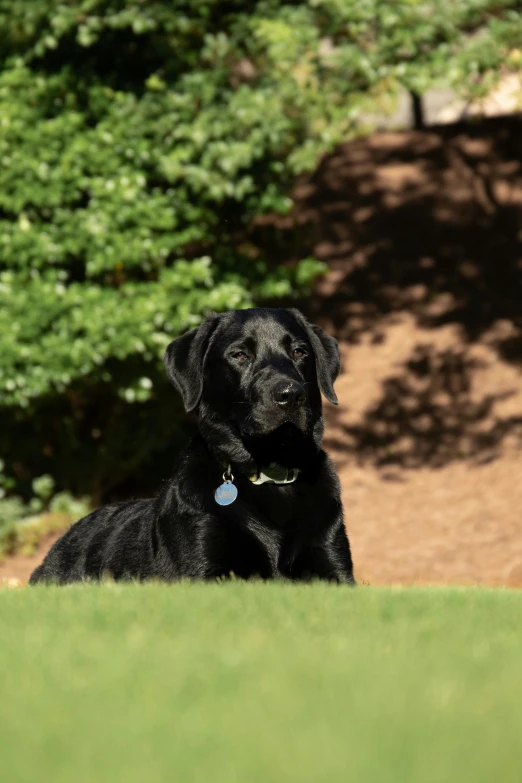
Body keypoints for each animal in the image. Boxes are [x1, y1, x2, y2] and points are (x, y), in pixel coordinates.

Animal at [29, 310, 354, 584]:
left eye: (299, 352)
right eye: (239, 354)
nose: (290, 394)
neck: (271, 476)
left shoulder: (332, 560)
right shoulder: (203, 566)